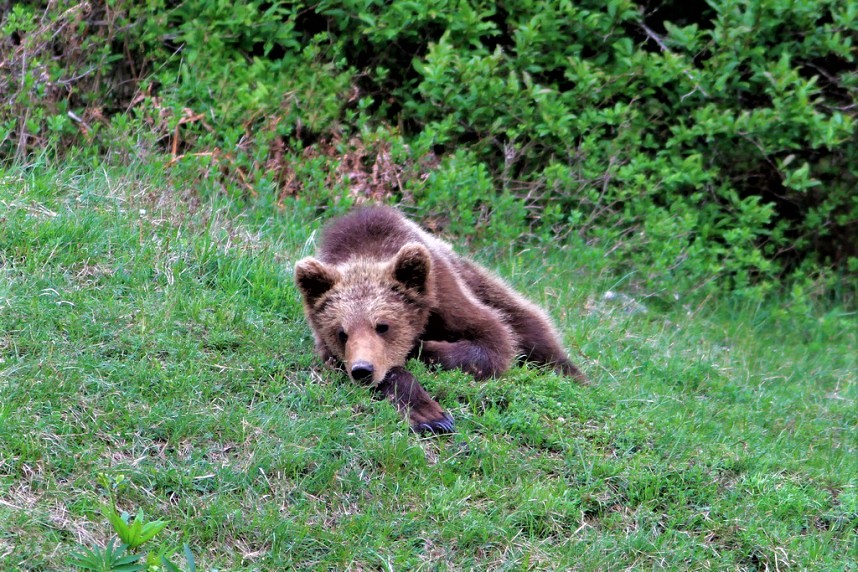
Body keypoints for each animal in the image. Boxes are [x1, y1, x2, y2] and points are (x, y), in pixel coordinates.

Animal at [290, 207, 584, 434]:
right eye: (342, 332)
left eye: (383, 325)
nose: (363, 370)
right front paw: (430, 416)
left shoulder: (444, 294)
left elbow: (493, 340)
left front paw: (423, 349)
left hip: (476, 278)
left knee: (528, 323)